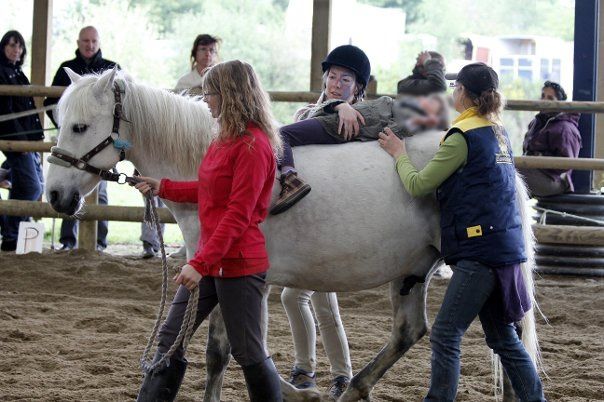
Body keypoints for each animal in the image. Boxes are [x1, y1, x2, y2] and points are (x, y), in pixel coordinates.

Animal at [44, 67, 540, 400]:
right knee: (412, 331)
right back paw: (352, 389)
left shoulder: (244, 279)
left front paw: (295, 391)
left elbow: (236, 351)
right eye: (59, 121)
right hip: (412, 271)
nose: (55, 196)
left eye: (81, 126)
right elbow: (213, 352)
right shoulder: (212, 276)